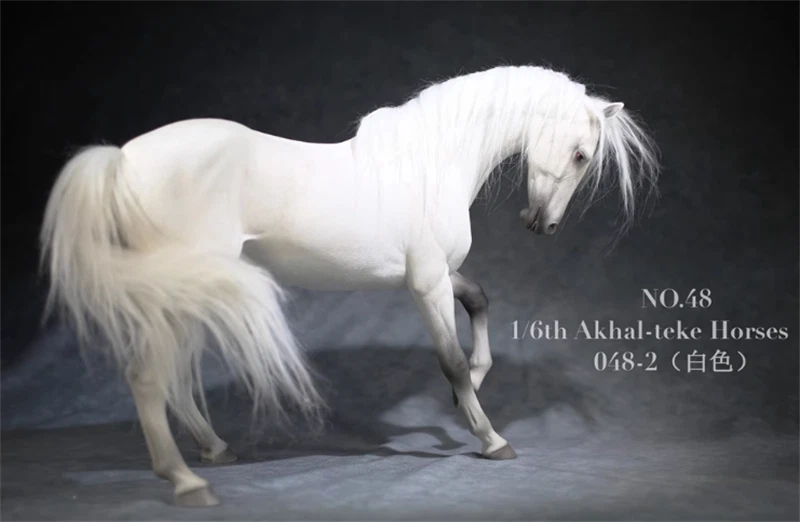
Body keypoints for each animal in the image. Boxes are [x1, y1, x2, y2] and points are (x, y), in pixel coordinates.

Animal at [39, 65, 660, 507]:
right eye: (580, 154)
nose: (543, 226)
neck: (431, 161)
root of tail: (122, 160)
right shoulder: (426, 284)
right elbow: (453, 359)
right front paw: (490, 438)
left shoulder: (435, 274)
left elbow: (480, 302)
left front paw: (473, 392)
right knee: (148, 377)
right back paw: (188, 483)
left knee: (169, 376)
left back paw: (213, 450)